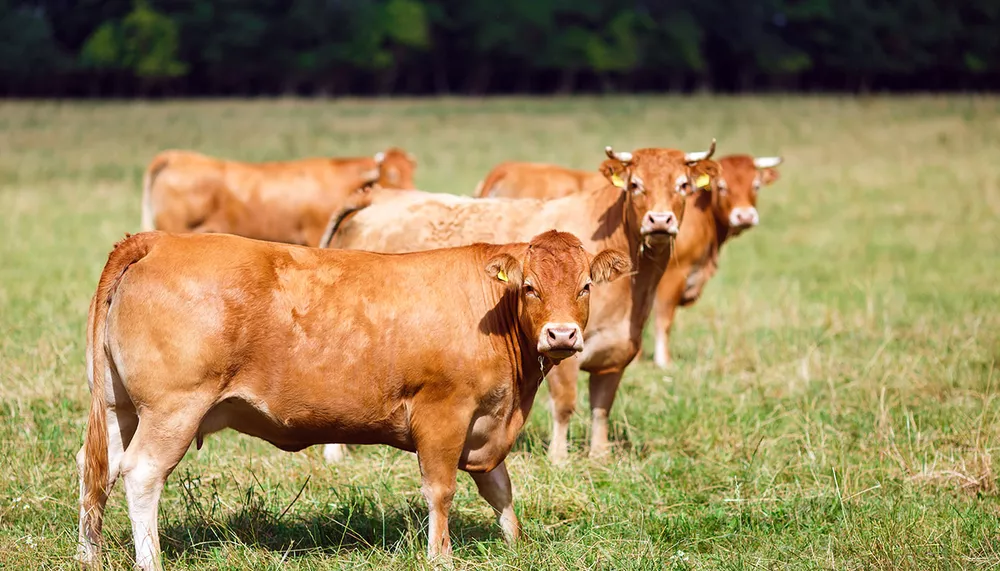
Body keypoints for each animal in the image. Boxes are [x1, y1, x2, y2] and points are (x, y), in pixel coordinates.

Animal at [75, 229, 629, 570]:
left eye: (585, 286)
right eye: (530, 287)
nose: (562, 335)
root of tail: (158, 239)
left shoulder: (485, 422)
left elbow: (499, 487)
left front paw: (517, 544)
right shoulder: (444, 414)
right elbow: (441, 489)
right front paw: (441, 556)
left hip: (119, 407)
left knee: (95, 467)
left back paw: (89, 555)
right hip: (173, 409)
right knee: (142, 474)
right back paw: (148, 560)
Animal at [651, 155, 783, 368]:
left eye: (756, 185)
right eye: (721, 186)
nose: (745, 216)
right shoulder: (671, 275)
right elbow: (663, 318)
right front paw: (663, 361)